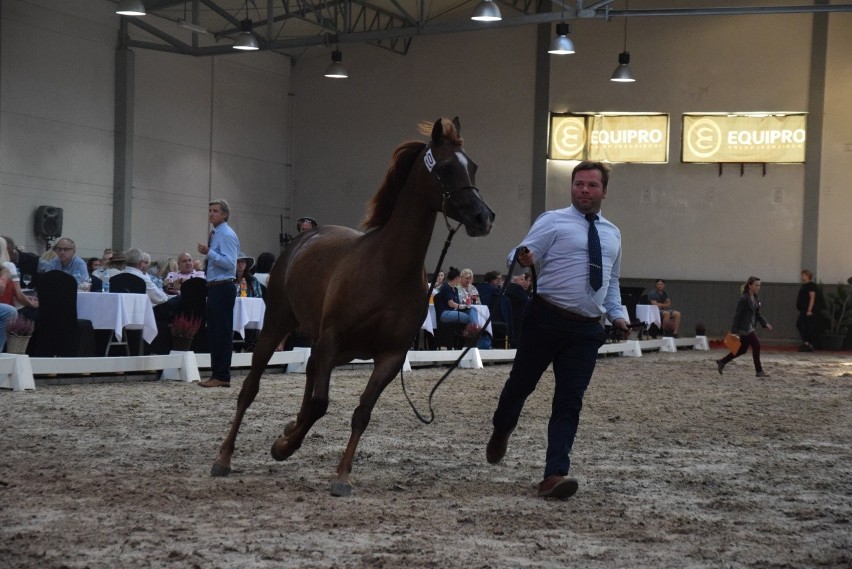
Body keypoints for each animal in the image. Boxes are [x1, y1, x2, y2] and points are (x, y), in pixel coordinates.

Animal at [209, 117, 496, 494]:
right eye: (447, 167)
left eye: (473, 166)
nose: (483, 218)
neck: (387, 267)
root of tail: (303, 239)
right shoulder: (332, 339)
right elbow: (320, 404)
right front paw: (284, 445)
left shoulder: (390, 355)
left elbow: (361, 412)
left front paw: (341, 473)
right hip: (277, 325)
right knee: (250, 389)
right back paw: (224, 458)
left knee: (310, 374)